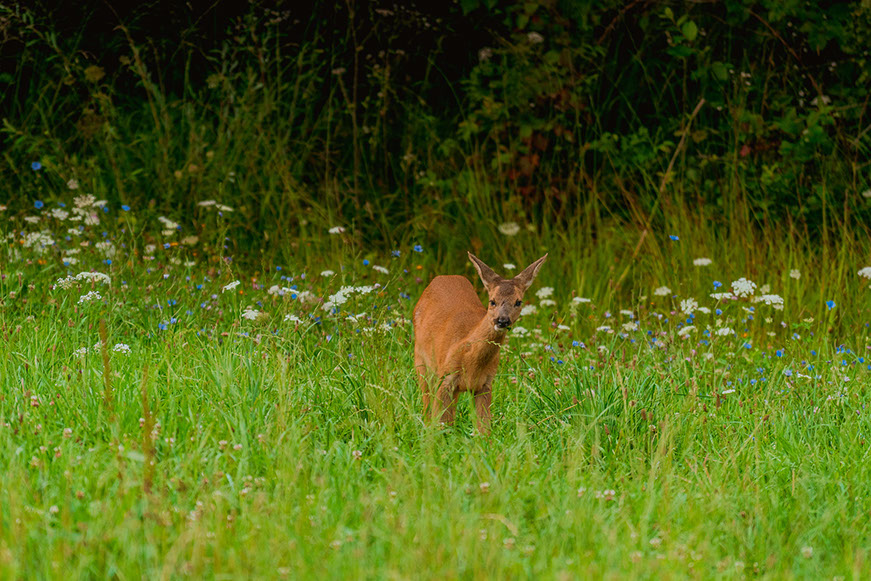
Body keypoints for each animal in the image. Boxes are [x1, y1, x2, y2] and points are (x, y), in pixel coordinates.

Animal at [413, 252, 547, 434]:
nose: (502, 320)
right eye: (492, 301)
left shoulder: (486, 384)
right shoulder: (445, 378)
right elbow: (440, 423)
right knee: (427, 406)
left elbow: (484, 429)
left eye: (518, 302)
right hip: (421, 362)